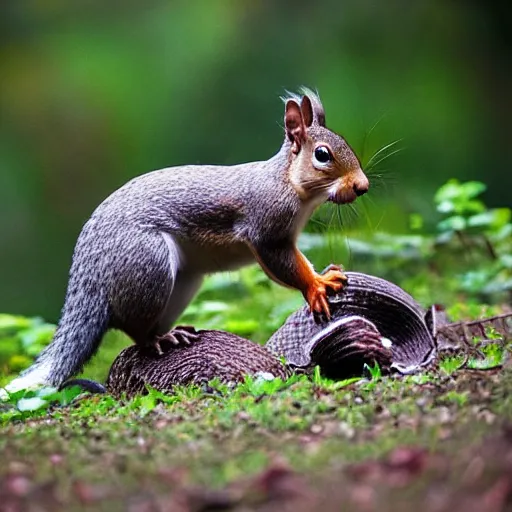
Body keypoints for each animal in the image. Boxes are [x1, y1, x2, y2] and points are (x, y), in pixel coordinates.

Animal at [0, 86, 368, 394]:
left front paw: (325, 274)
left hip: (182, 282)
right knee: (134, 329)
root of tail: (90, 273)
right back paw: (159, 340)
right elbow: (286, 266)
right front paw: (317, 285)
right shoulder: (267, 230)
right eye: (323, 155)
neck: (287, 182)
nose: (362, 186)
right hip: (149, 265)